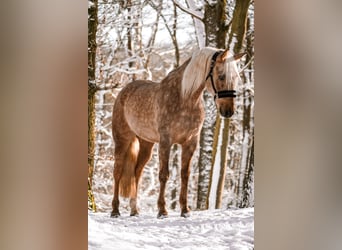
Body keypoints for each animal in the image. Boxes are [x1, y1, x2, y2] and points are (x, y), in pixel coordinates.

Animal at [110, 47, 243, 219]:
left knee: (136, 172)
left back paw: (134, 210)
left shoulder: (190, 143)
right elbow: (164, 174)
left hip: (147, 144)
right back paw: (115, 210)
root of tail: (123, 91)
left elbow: (185, 174)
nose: (228, 111)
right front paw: (162, 210)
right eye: (221, 76)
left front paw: (185, 210)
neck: (185, 98)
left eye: (236, 78)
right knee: (117, 172)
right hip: (122, 140)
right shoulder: (166, 142)